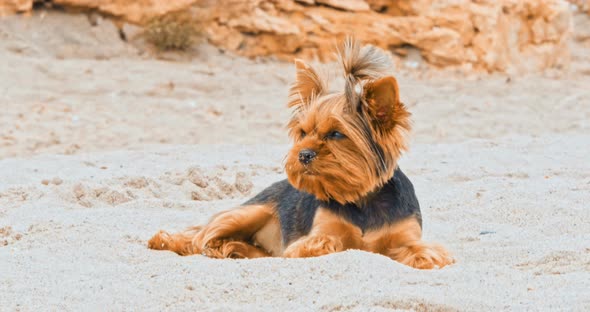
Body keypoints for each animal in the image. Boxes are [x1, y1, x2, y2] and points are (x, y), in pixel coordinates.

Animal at [148, 38, 454, 268]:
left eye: (336, 134)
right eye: (303, 132)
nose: (303, 154)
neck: (361, 199)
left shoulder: (406, 235)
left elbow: (423, 251)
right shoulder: (312, 237)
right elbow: (325, 240)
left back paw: (231, 248)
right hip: (247, 212)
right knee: (200, 235)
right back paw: (171, 241)